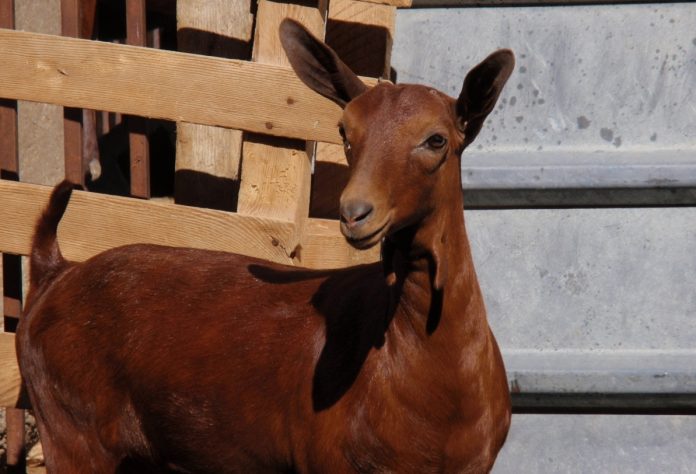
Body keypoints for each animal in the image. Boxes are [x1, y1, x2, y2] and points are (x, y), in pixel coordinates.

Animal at [16, 18, 512, 474]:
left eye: (437, 139)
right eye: (345, 132)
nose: (355, 213)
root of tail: (54, 272)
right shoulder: (327, 461)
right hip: (70, 428)